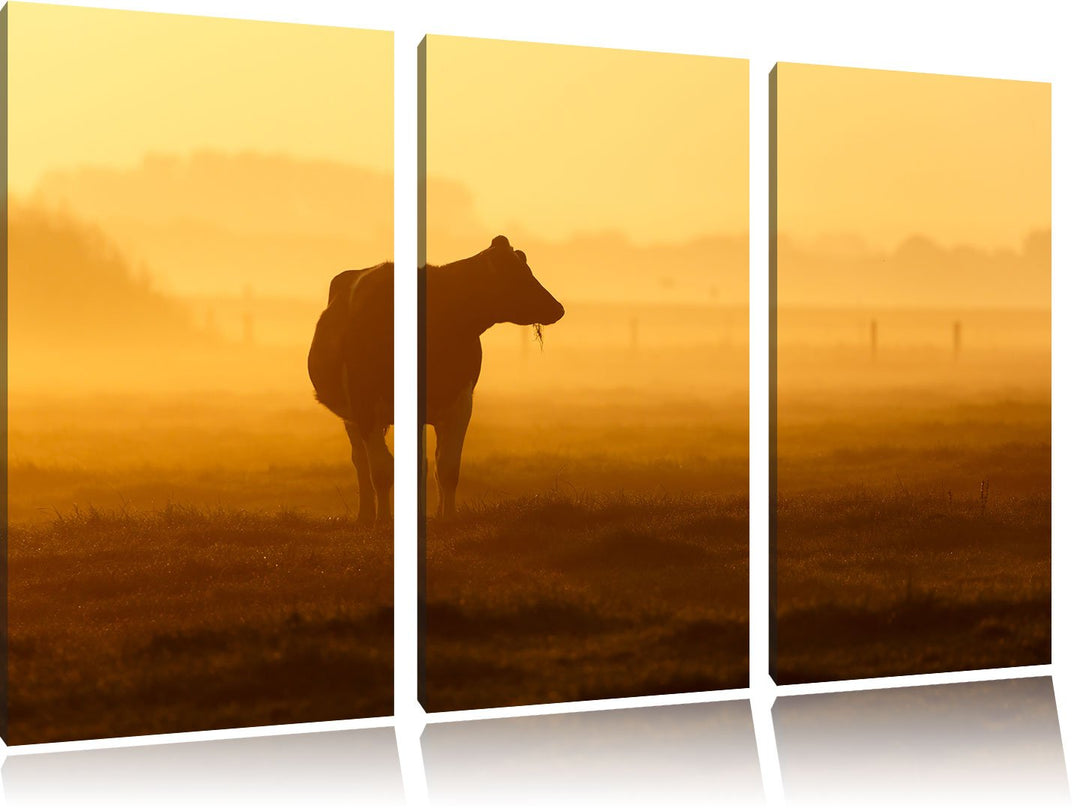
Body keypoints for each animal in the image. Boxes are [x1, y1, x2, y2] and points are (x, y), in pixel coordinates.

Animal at [308, 235, 564, 524]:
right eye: (516, 274)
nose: (557, 308)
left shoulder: (460, 401)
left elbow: (447, 467)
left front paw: (448, 517)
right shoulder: (365, 406)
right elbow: (382, 471)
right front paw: (383, 520)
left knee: (419, 465)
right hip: (351, 417)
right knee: (361, 462)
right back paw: (366, 515)